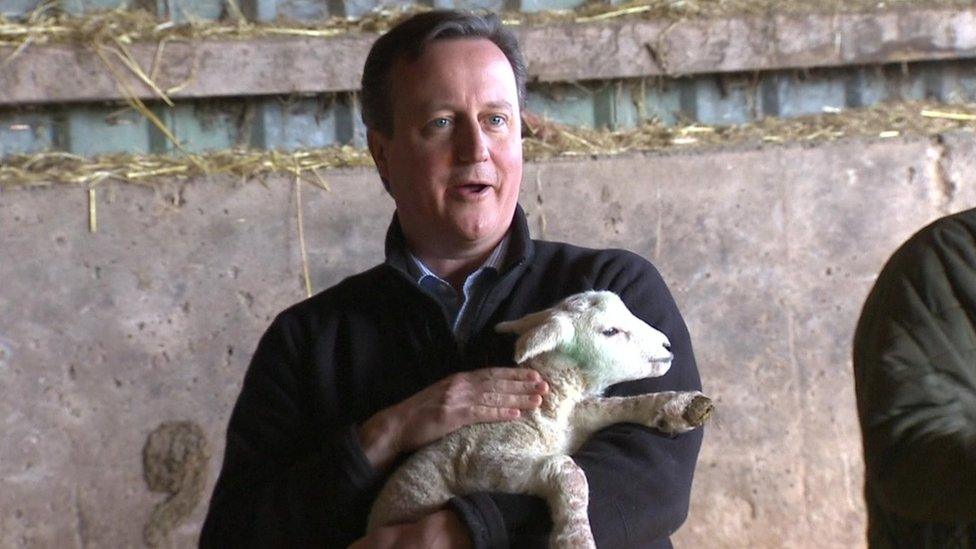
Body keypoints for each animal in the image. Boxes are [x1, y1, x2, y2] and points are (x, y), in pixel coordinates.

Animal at [364, 288, 708, 544]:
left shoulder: (576, 420)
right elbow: (567, 470)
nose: (667, 345)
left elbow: (608, 406)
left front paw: (679, 405)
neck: (548, 410)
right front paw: (575, 538)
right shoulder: (480, 460)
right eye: (610, 331)